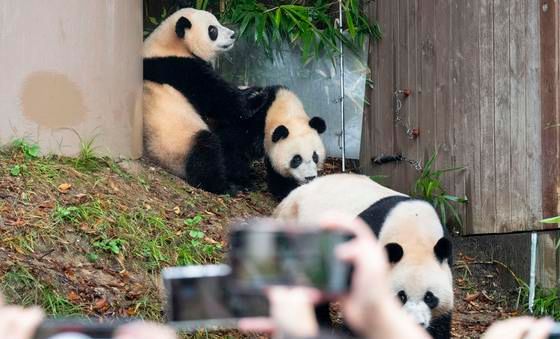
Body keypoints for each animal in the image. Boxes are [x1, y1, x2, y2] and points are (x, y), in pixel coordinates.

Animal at [143, 8, 268, 194]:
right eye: (212, 30)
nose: (233, 35)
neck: (171, 45)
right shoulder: (180, 68)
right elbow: (221, 99)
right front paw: (255, 96)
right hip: (177, 143)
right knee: (207, 151)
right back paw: (226, 185)